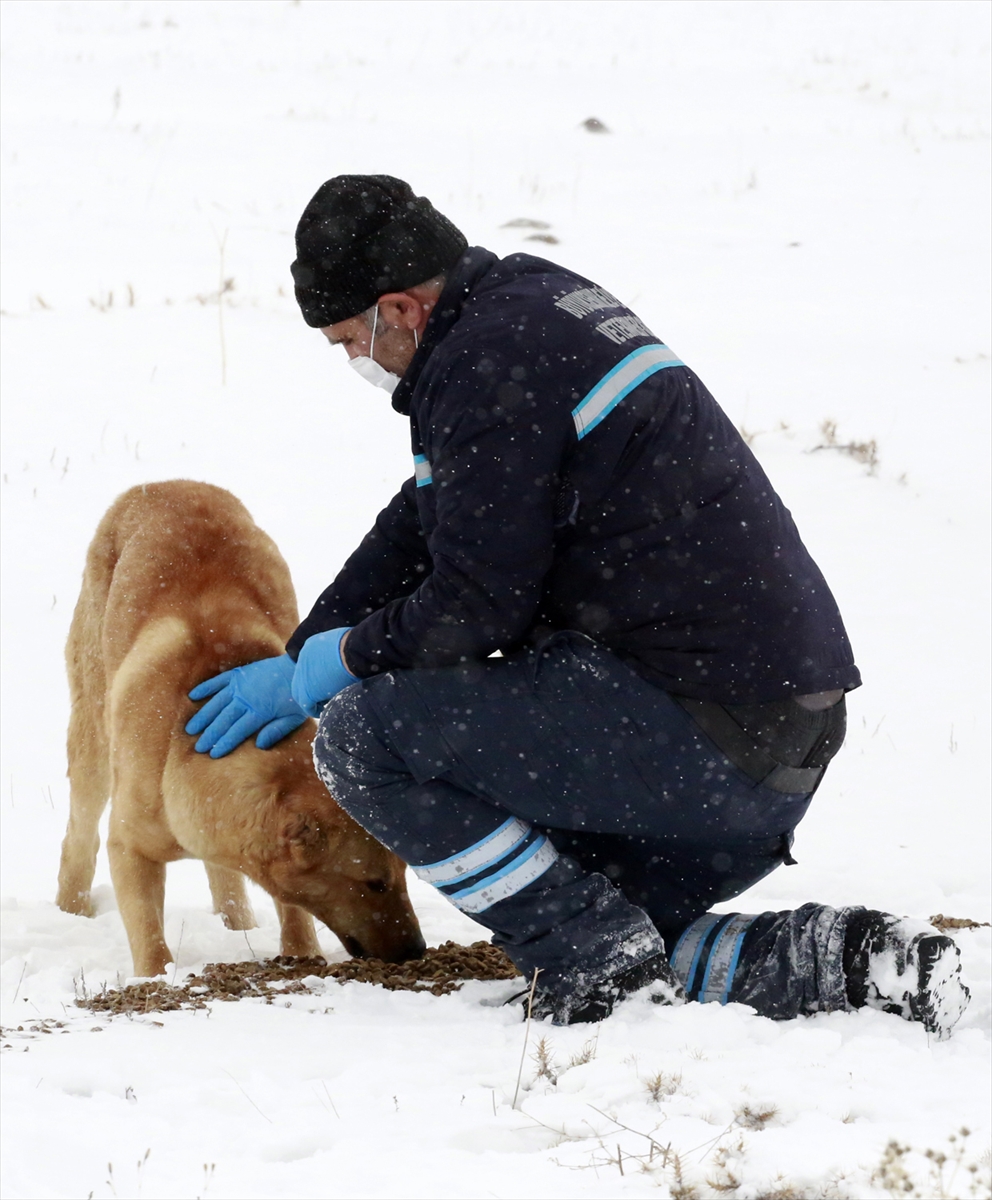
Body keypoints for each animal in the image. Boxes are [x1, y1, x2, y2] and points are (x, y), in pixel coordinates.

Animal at [56, 477, 424, 974]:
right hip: (93, 727)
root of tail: (163, 483)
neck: (183, 742)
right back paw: (71, 909)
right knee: (80, 830)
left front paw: (301, 953)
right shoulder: (130, 846)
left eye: (405, 873)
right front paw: (158, 976)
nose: (417, 951)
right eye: (375, 883)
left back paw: (239, 924)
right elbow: (149, 936)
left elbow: (290, 905)